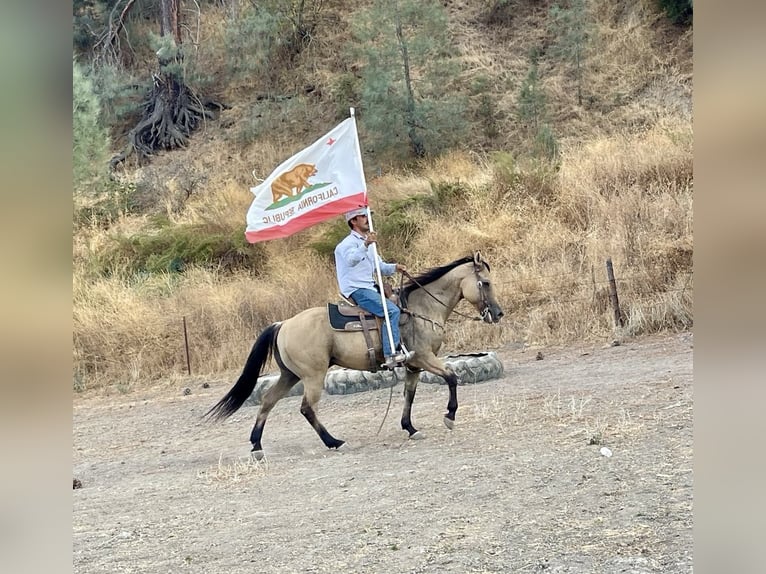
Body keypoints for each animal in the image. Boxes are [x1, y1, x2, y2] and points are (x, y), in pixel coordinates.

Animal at [206, 252, 504, 460]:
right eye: (486, 283)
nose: (498, 313)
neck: (422, 309)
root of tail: (283, 324)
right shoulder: (423, 358)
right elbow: (452, 377)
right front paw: (449, 416)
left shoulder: (413, 367)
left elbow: (409, 395)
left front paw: (410, 428)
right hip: (313, 376)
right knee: (306, 408)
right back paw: (334, 442)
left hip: (289, 375)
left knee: (267, 401)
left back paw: (257, 446)